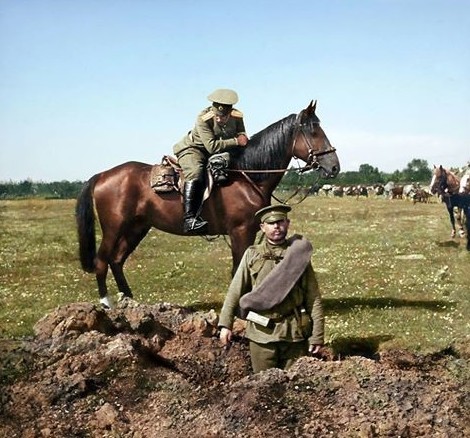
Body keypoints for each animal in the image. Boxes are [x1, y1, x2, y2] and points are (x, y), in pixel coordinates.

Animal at [77, 99, 342, 306]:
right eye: (314, 131)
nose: (334, 167)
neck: (247, 175)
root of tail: (102, 175)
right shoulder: (240, 232)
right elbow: (238, 270)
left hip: (137, 228)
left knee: (117, 260)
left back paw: (129, 300)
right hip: (114, 228)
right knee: (102, 261)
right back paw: (107, 304)